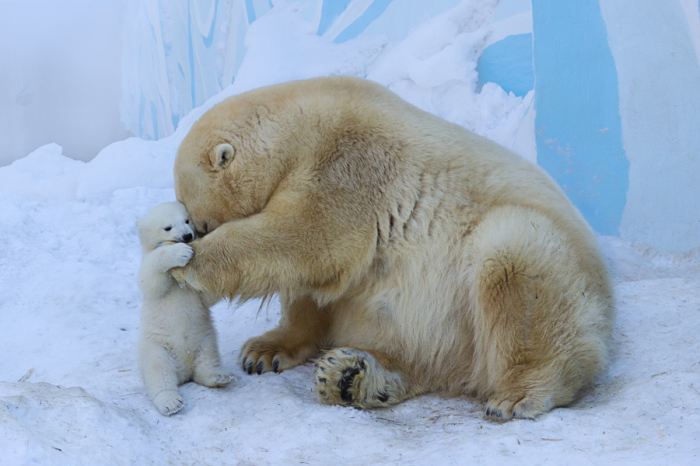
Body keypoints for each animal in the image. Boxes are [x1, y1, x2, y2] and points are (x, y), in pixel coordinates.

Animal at [174, 77, 612, 422]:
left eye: (199, 222)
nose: (189, 235)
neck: (300, 125)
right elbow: (313, 286)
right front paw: (264, 351)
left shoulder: (350, 163)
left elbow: (306, 237)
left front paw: (187, 266)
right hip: (442, 335)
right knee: (417, 355)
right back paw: (351, 378)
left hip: (544, 262)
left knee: (514, 263)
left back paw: (519, 393)